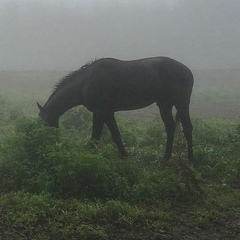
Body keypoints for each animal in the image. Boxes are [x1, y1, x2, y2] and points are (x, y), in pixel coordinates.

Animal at [38, 57, 195, 162]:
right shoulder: (100, 113)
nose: (44, 146)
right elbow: (100, 136)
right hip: (164, 104)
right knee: (170, 128)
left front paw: (122, 156)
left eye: (45, 124)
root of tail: (187, 71)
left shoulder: (105, 112)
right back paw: (165, 158)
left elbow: (110, 135)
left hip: (181, 103)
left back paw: (191, 159)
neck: (85, 82)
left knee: (187, 128)